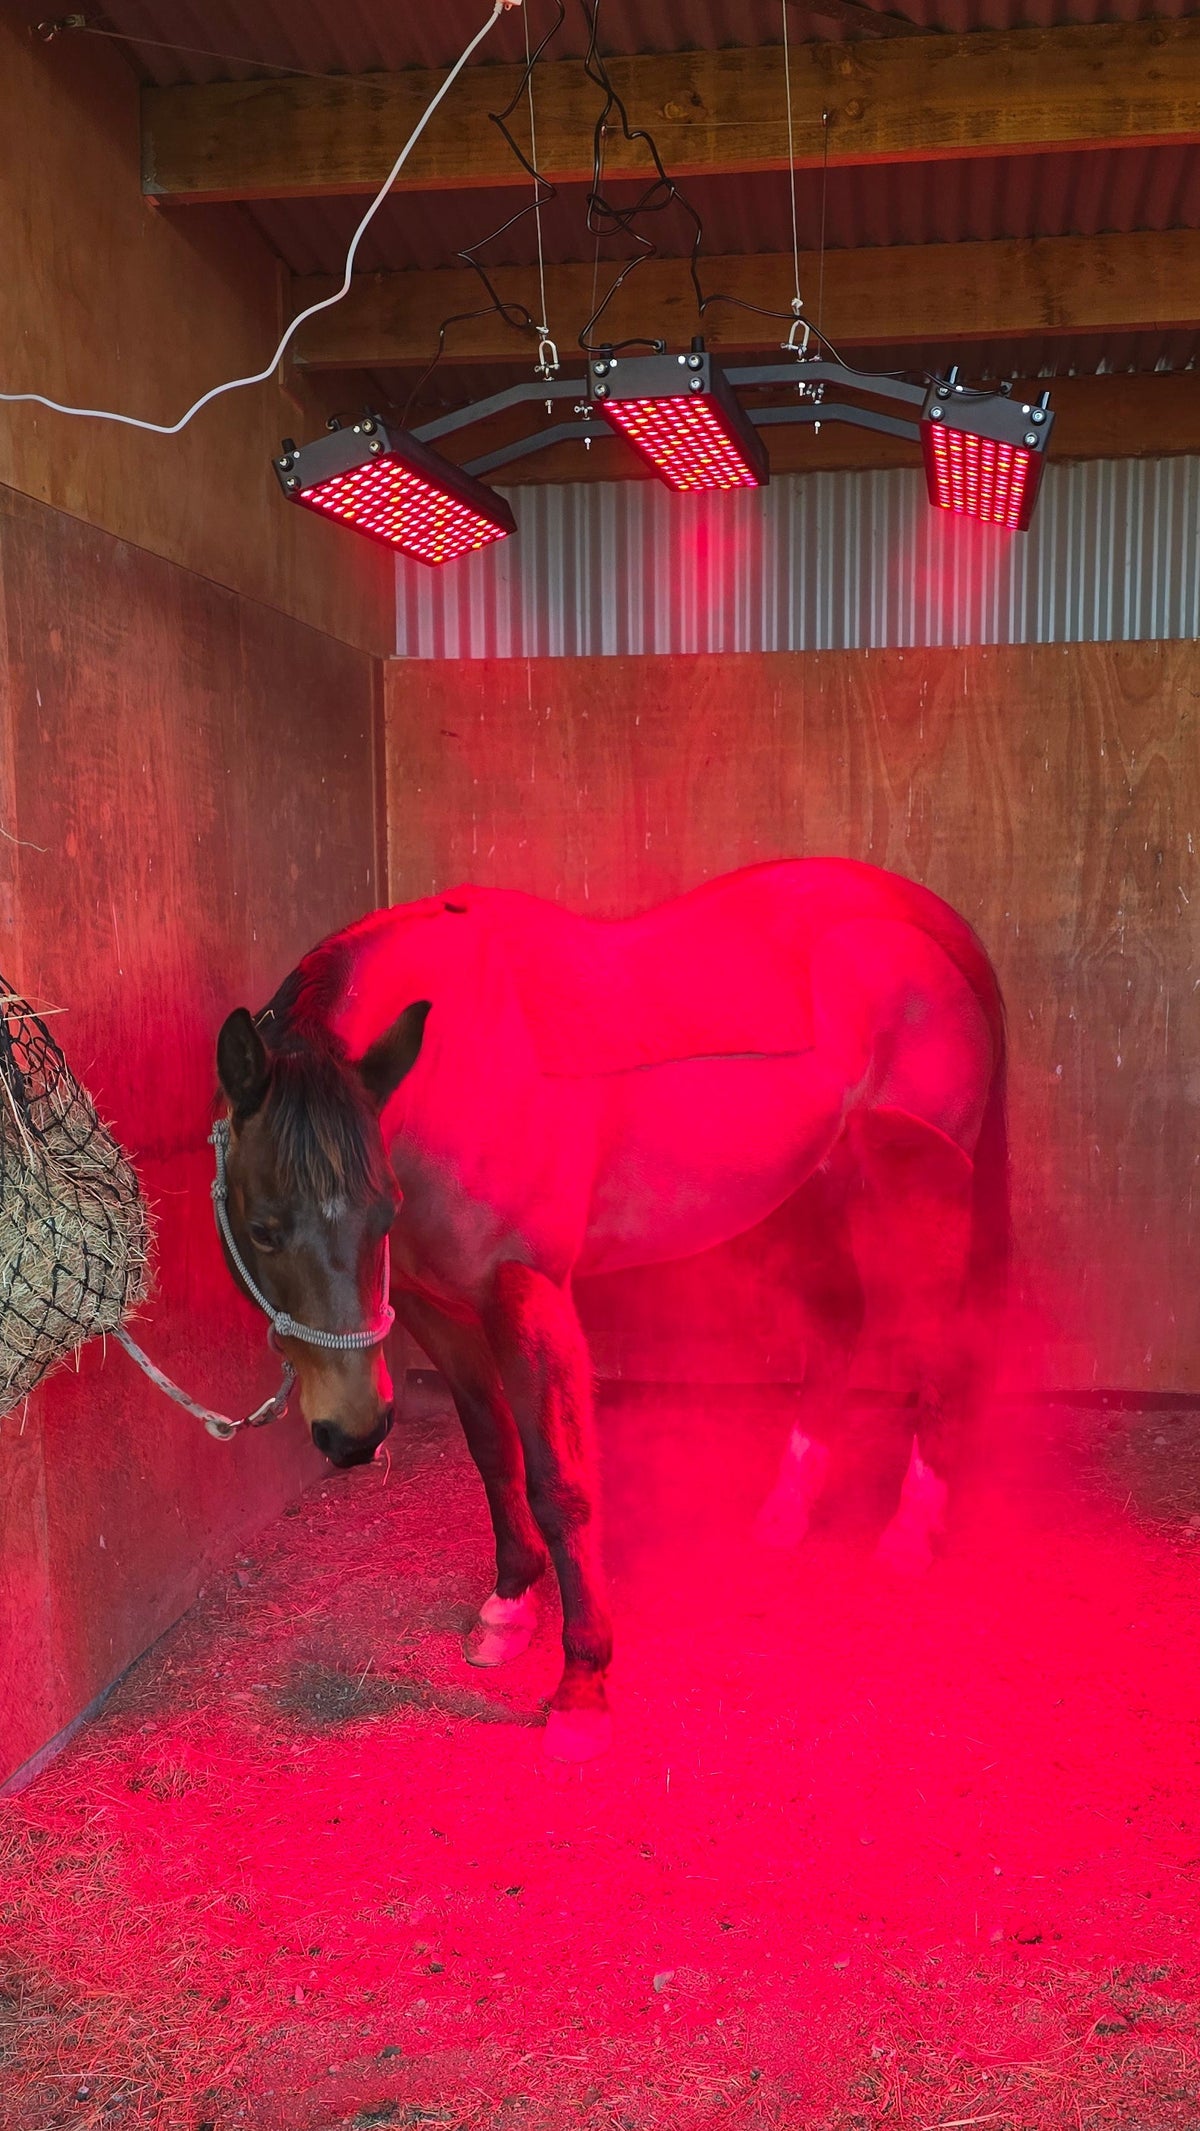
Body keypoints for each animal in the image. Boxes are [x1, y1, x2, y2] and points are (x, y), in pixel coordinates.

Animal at [214, 859, 1008, 1761]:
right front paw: (508, 1606)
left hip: (922, 1185)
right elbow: (495, 1453)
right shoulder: (437, 1309)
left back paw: (911, 1527)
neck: (462, 1064)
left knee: (940, 1335)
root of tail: (919, 917)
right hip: (817, 1182)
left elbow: (563, 1483)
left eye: (379, 1211)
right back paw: (788, 1509)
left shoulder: (528, 1295)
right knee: (839, 1322)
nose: (354, 1433)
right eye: (262, 1225)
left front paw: (583, 1685)